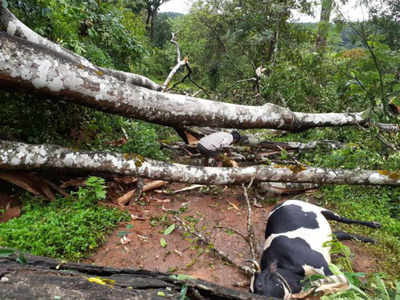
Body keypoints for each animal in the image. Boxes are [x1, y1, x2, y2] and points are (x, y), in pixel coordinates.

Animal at [250, 200, 382, 298]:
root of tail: (280, 203)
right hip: (328, 237)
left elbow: (344, 282)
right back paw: (370, 240)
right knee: (341, 233)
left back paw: (374, 224)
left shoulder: (322, 264)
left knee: (344, 219)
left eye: (260, 284)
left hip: (323, 210)